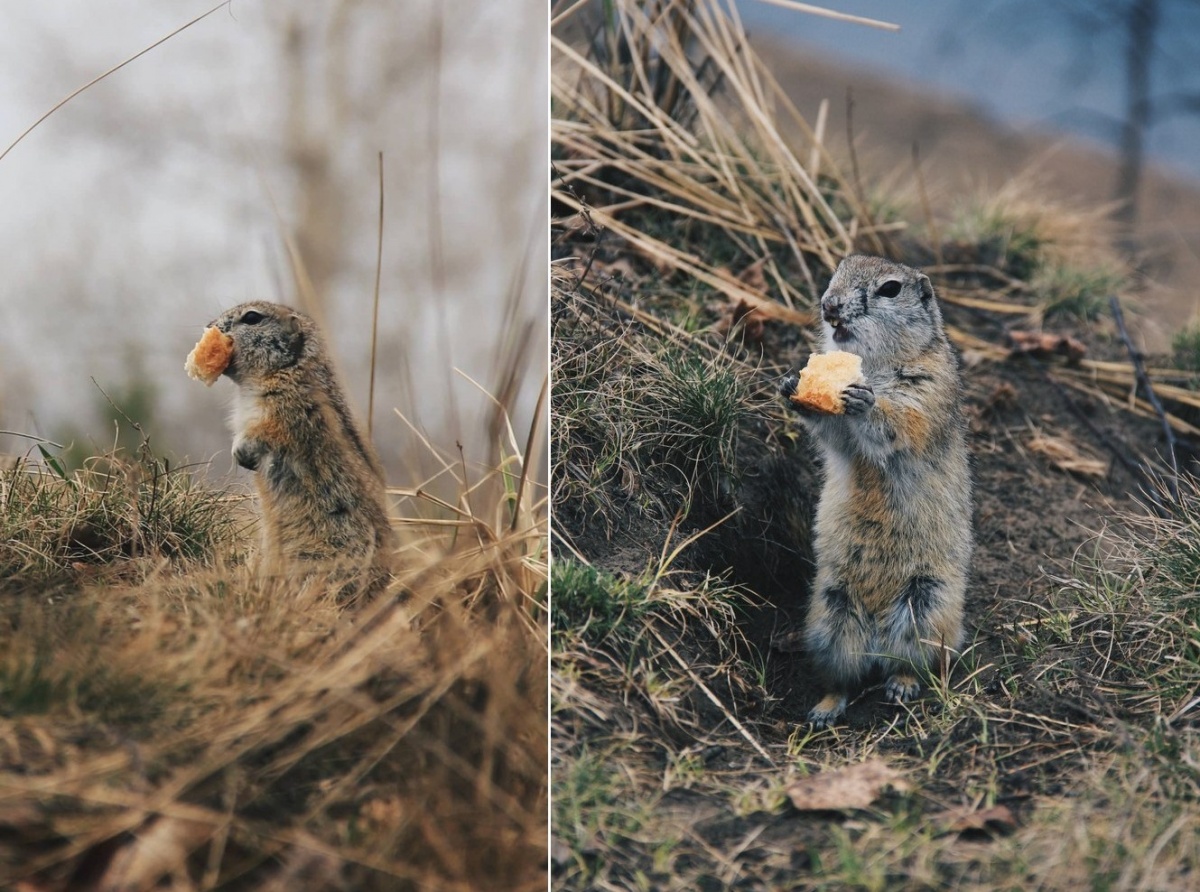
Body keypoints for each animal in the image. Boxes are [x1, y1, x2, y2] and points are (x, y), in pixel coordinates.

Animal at [192, 301, 396, 593]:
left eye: (252, 317)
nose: (210, 326)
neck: (289, 367)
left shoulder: (286, 408)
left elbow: (264, 433)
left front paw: (242, 454)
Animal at [777, 254, 974, 729]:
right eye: (837, 271)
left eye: (889, 289)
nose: (829, 304)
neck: (873, 362)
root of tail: (876, 633)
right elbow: (836, 436)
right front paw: (792, 385)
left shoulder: (927, 390)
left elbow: (897, 423)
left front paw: (863, 401)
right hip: (831, 617)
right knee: (844, 678)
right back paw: (824, 709)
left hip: (928, 609)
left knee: (909, 664)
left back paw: (901, 686)